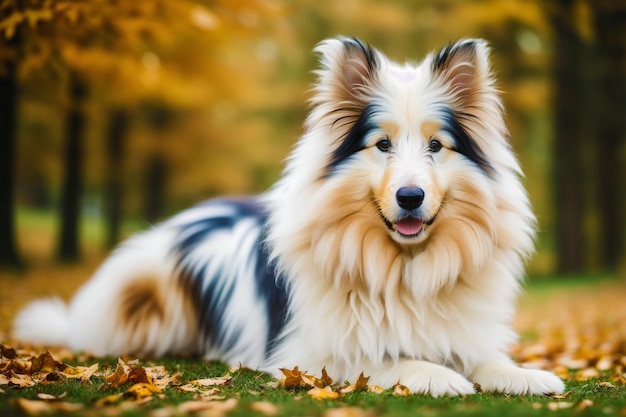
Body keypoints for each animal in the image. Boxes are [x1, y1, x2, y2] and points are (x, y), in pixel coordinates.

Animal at [14, 37, 564, 394]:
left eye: (436, 146)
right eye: (381, 145)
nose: (410, 196)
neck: (403, 265)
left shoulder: (464, 330)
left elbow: (485, 357)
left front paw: (525, 375)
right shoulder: (311, 353)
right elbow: (383, 358)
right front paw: (438, 375)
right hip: (140, 292)